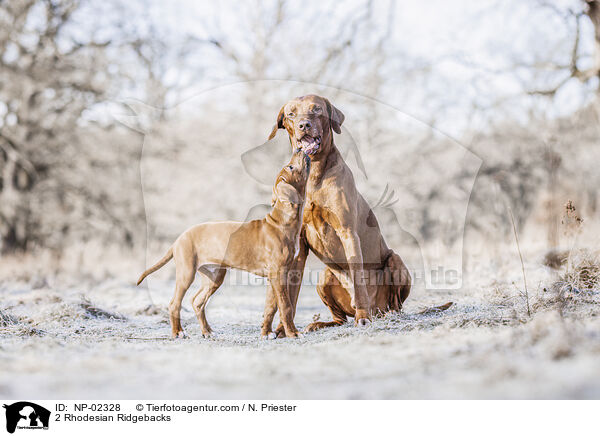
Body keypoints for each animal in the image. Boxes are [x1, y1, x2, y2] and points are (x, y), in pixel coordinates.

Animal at [137, 152, 312, 338]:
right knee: (174, 303)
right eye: (291, 167)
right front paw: (293, 333)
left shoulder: (275, 275)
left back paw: (207, 332)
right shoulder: (278, 273)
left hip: (214, 276)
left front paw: (266, 333)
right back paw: (178, 332)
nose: (300, 150)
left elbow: (270, 307)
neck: (281, 222)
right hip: (186, 273)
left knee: (197, 301)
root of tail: (178, 239)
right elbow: (285, 306)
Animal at [264, 93, 412, 336]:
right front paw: (282, 330)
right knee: (340, 318)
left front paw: (362, 318)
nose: (304, 125)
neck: (313, 174)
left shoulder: (348, 232)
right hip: (324, 277)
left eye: (316, 109)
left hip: (395, 260)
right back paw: (320, 323)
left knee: (395, 303)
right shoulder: (299, 245)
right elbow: (290, 295)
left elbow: (358, 279)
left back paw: (382, 314)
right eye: (291, 114)